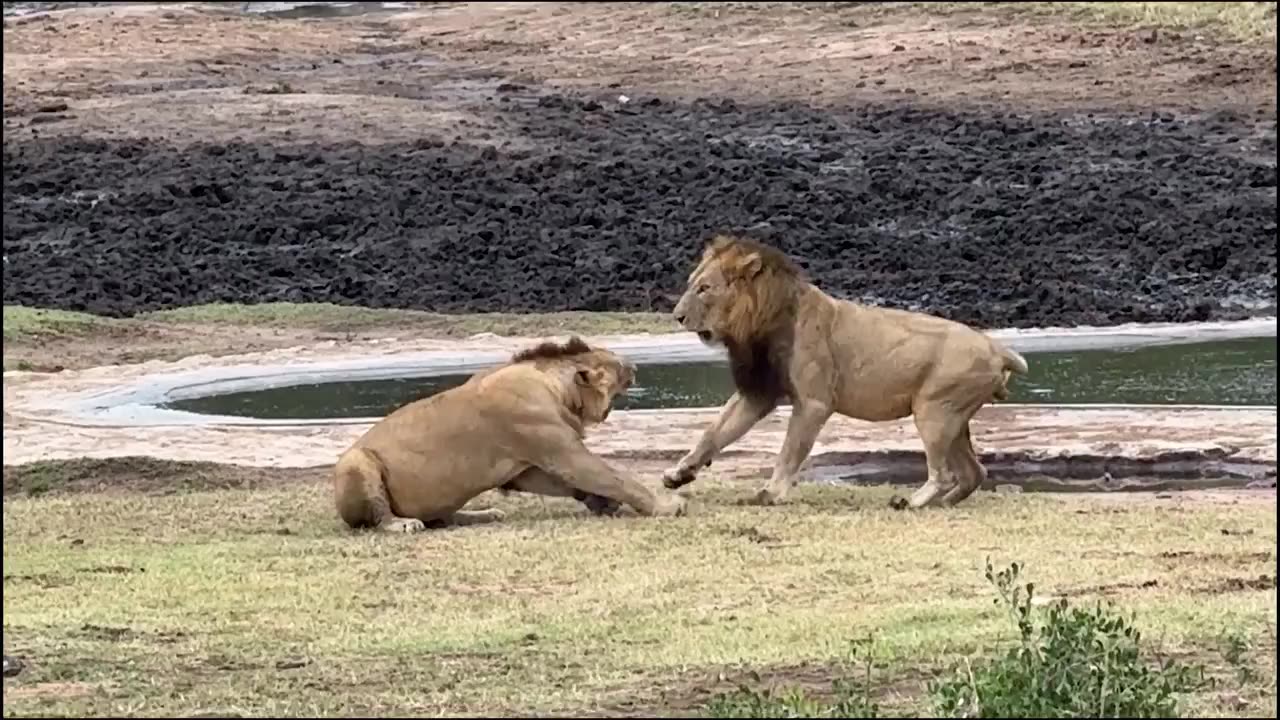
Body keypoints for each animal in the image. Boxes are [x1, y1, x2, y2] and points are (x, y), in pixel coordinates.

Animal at [332, 333, 691, 530]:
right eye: (616, 364)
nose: (635, 366)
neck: (556, 388)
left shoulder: (527, 469)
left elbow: (572, 484)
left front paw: (602, 503)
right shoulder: (561, 451)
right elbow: (619, 478)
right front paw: (667, 506)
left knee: (444, 518)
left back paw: (486, 513)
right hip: (355, 462)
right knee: (380, 519)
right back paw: (402, 524)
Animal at [660, 233, 1029, 507]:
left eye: (704, 288)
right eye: (692, 284)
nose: (677, 316)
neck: (758, 325)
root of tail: (997, 348)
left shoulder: (813, 402)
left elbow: (789, 450)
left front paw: (771, 493)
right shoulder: (758, 392)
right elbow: (714, 433)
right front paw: (679, 474)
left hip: (933, 411)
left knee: (945, 473)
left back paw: (912, 501)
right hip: (952, 418)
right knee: (974, 473)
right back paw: (941, 503)